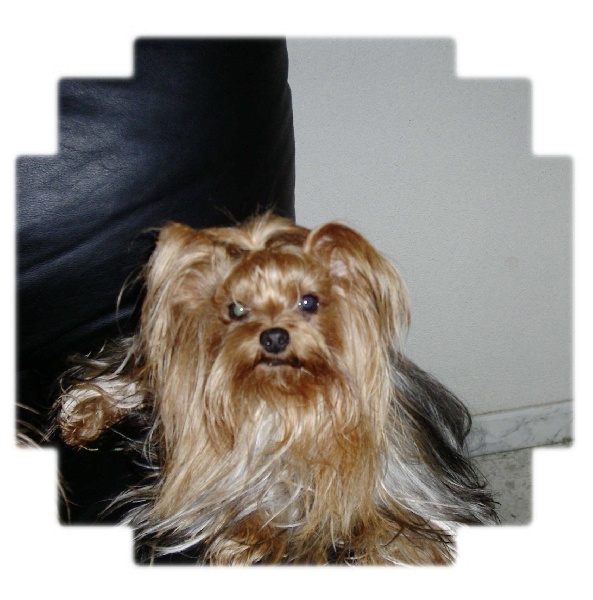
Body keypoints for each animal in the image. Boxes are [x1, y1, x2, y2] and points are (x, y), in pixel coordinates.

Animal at [56, 213, 497, 565]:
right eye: (236, 309)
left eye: (308, 302)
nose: (273, 337)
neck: (289, 404)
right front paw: (246, 543)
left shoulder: (424, 495)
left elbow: (412, 542)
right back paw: (84, 411)